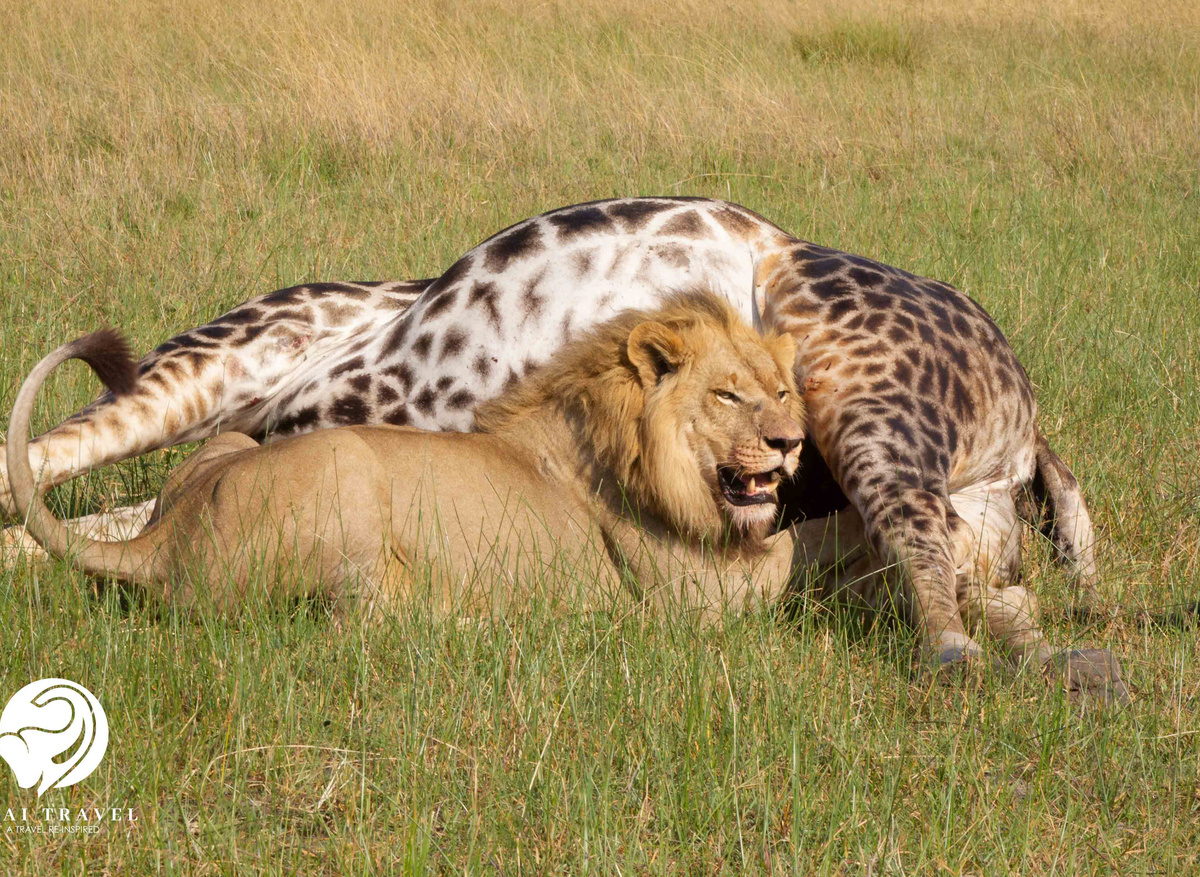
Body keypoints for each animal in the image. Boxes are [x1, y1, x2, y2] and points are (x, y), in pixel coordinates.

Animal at [6, 292, 812, 621]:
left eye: (780, 390)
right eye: (728, 396)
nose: (791, 442)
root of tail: (164, 543)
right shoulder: (693, 602)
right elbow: (795, 561)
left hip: (229, 447)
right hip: (346, 466)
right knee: (358, 621)